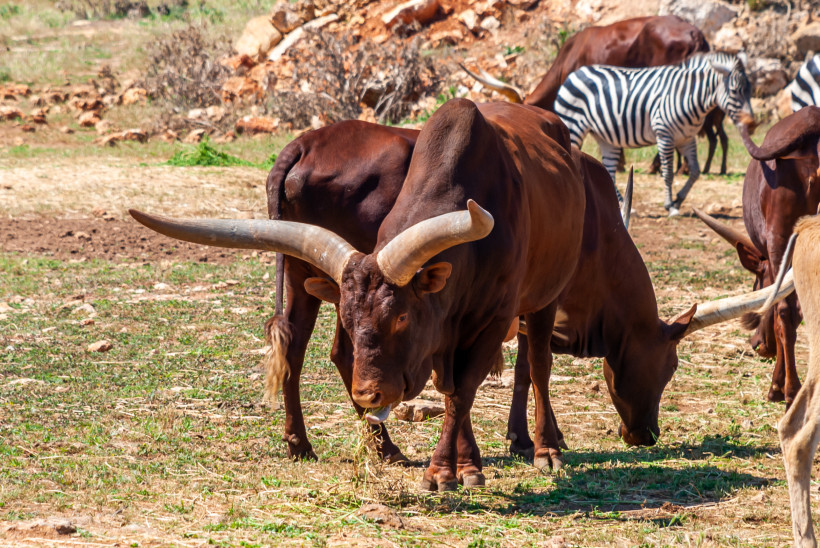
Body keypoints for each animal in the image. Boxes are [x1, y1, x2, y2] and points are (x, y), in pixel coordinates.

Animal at [554, 52, 754, 216]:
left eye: (751, 91)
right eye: (734, 91)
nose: (751, 124)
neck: (688, 95)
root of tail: (575, 73)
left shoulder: (687, 139)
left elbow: (695, 172)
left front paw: (678, 200)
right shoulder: (664, 135)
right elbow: (668, 174)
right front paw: (670, 206)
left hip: (605, 138)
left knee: (609, 171)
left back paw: (622, 206)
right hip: (573, 125)